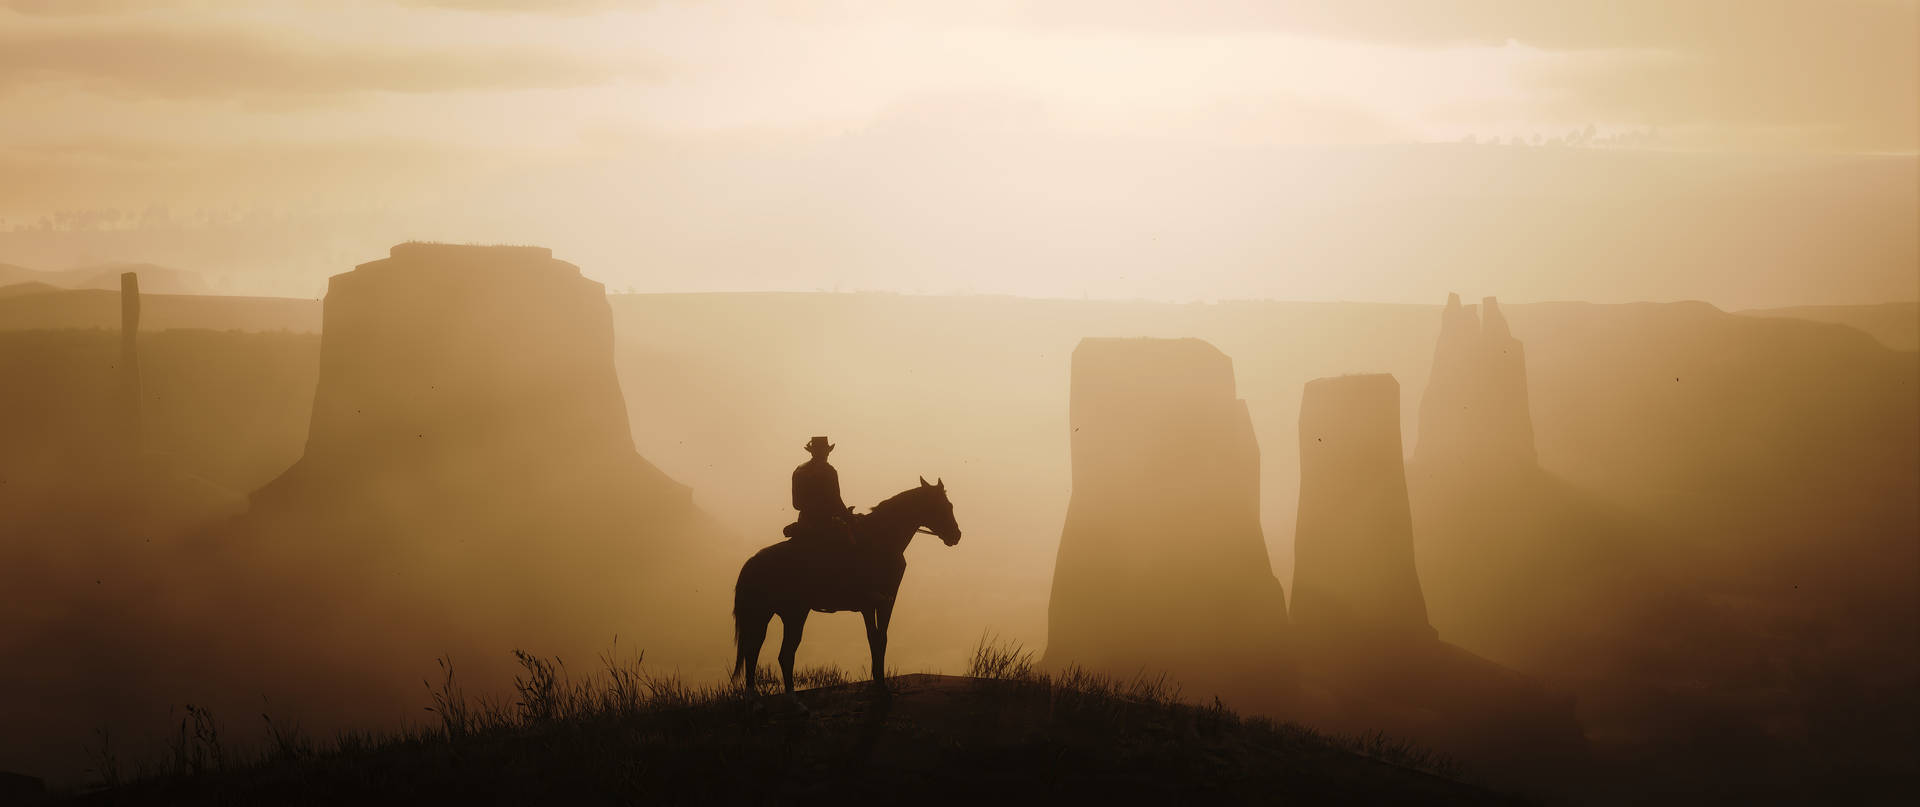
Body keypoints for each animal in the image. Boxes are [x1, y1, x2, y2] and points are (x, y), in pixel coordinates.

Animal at [725, 478, 960, 691]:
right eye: (946, 506)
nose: (956, 535)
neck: (882, 538)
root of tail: (752, 562)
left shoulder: (870, 605)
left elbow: (874, 639)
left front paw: (878, 679)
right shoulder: (883, 601)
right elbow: (880, 638)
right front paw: (881, 684)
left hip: (775, 614)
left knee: (760, 653)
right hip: (780, 614)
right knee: (772, 654)